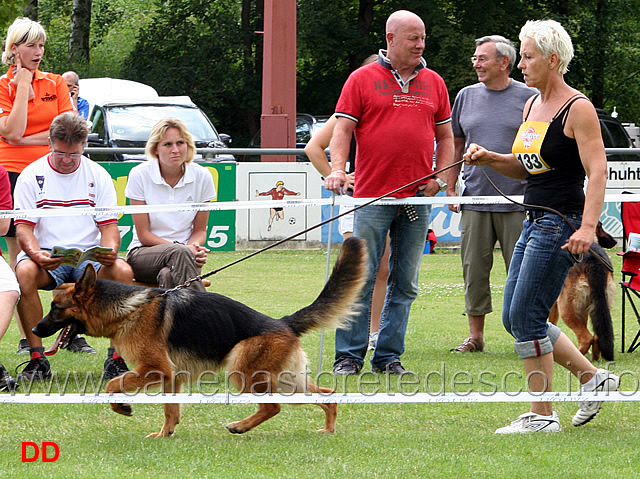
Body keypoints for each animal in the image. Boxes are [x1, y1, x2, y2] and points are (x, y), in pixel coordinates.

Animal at [32, 237, 368, 438]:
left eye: (56, 308)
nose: (34, 331)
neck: (127, 309)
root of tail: (282, 322)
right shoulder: (170, 377)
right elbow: (171, 410)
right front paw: (164, 435)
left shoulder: (154, 369)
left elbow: (114, 384)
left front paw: (122, 407)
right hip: (286, 381)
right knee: (326, 394)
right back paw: (328, 429)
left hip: (244, 373)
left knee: (272, 406)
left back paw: (240, 426)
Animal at [548, 223, 616, 362]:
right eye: (601, 227)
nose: (615, 241)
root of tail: (594, 262)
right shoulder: (583, 309)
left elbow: (551, 323)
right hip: (600, 306)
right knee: (596, 336)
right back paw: (594, 358)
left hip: (566, 308)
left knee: (586, 338)